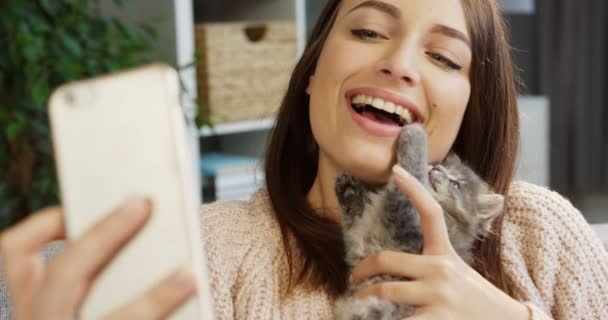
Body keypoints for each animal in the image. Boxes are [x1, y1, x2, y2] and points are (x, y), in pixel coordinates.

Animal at [332, 124, 504, 318]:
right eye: (439, 165)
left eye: (455, 184)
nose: (436, 169)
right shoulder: (358, 240)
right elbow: (352, 219)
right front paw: (348, 190)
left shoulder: (406, 223)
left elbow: (412, 173)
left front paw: (416, 134)